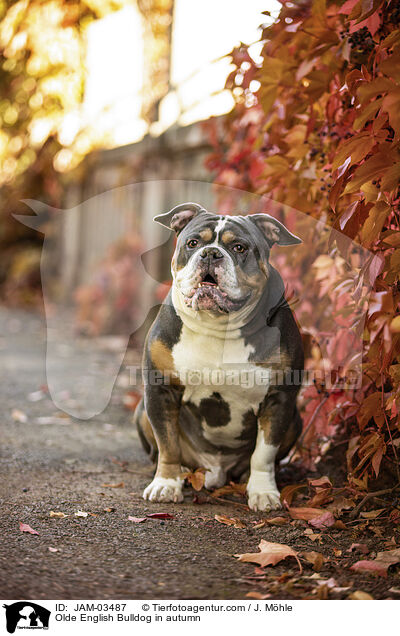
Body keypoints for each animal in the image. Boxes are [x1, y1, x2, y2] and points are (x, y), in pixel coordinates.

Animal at [134, 204, 304, 512]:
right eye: (193, 243)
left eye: (239, 247)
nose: (211, 254)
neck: (217, 325)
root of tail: (215, 473)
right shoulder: (160, 391)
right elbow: (168, 444)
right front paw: (166, 483)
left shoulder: (280, 399)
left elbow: (264, 453)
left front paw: (263, 492)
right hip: (141, 410)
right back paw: (183, 474)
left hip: (297, 421)